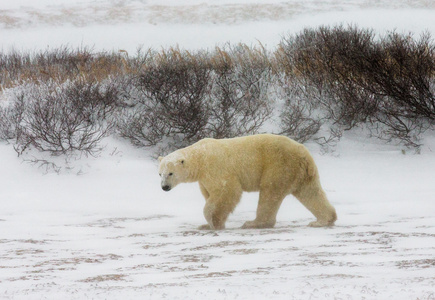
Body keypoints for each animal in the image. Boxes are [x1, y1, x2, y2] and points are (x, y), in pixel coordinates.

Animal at [158, 134, 338, 230]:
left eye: (171, 173)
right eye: (160, 174)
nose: (164, 187)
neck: (200, 158)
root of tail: (304, 156)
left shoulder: (216, 168)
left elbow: (227, 191)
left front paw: (214, 223)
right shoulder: (204, 179)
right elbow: (209, 194)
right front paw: (206, 225)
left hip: (279, 166)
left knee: (269, 192)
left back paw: (253, 223)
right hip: (301, 173)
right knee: (311, 193)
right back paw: (322, 220)